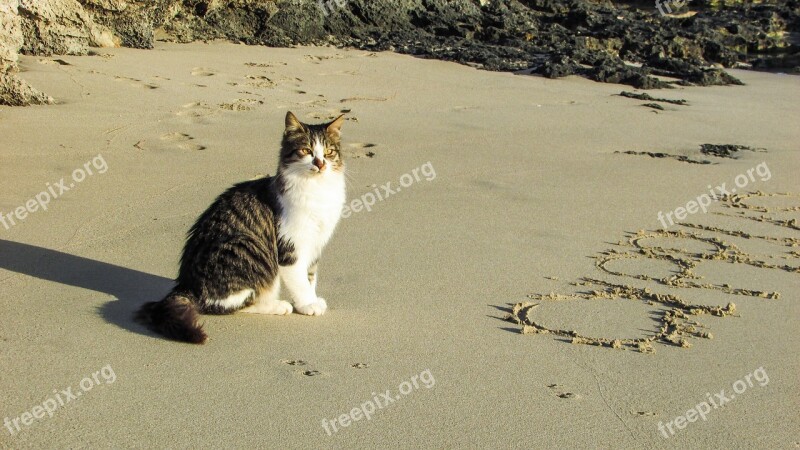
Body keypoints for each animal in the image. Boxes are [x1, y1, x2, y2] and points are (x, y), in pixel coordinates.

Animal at [135, 112, 346, 344]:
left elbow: (310, 277)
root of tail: (186, 285)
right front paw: (308, 304)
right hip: (249, 250)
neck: (317, 189)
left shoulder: (315, 244)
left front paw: (313, 298)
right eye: (306, 151)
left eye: (328, 152)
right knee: (231, 304)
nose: (320, 164)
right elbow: (299, 281)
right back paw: (277, 306)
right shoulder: (290, 246)